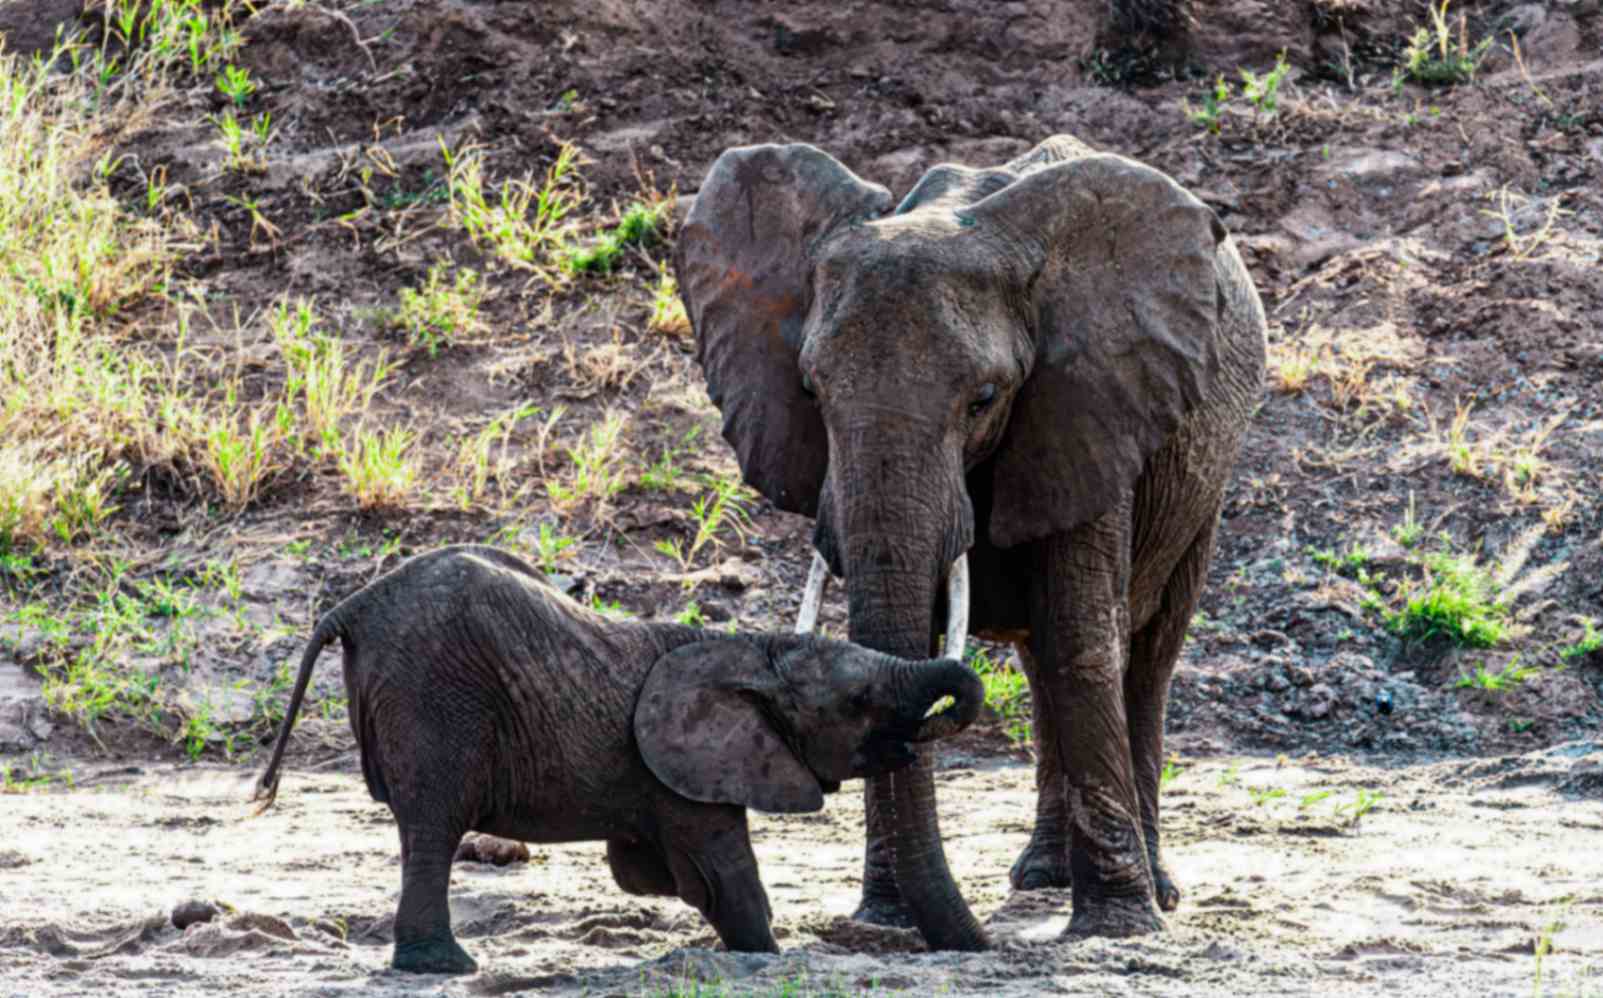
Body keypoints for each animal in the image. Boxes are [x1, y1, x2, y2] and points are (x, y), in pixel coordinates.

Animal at [252, 544, 983, 974]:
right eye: (859, 700)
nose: (930, 726)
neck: (753, 648)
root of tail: (355, 604)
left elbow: (648, 872)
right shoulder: (689, 777)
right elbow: (724, 870)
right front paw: (765, 955)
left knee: (420, 831)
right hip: (436, 698)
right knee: (435, 826)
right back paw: (446, 968)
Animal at [675, 134, 1267, 948]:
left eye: (984, 399)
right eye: (810, 393)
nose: (978, 940)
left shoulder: (1093, 405)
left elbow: (1083, 638)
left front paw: (1116, 930)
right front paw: (884, 923)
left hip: (1203, 476)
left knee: (1145, 655)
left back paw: (1154, 891)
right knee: (1041, 661)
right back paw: (1041, 878)